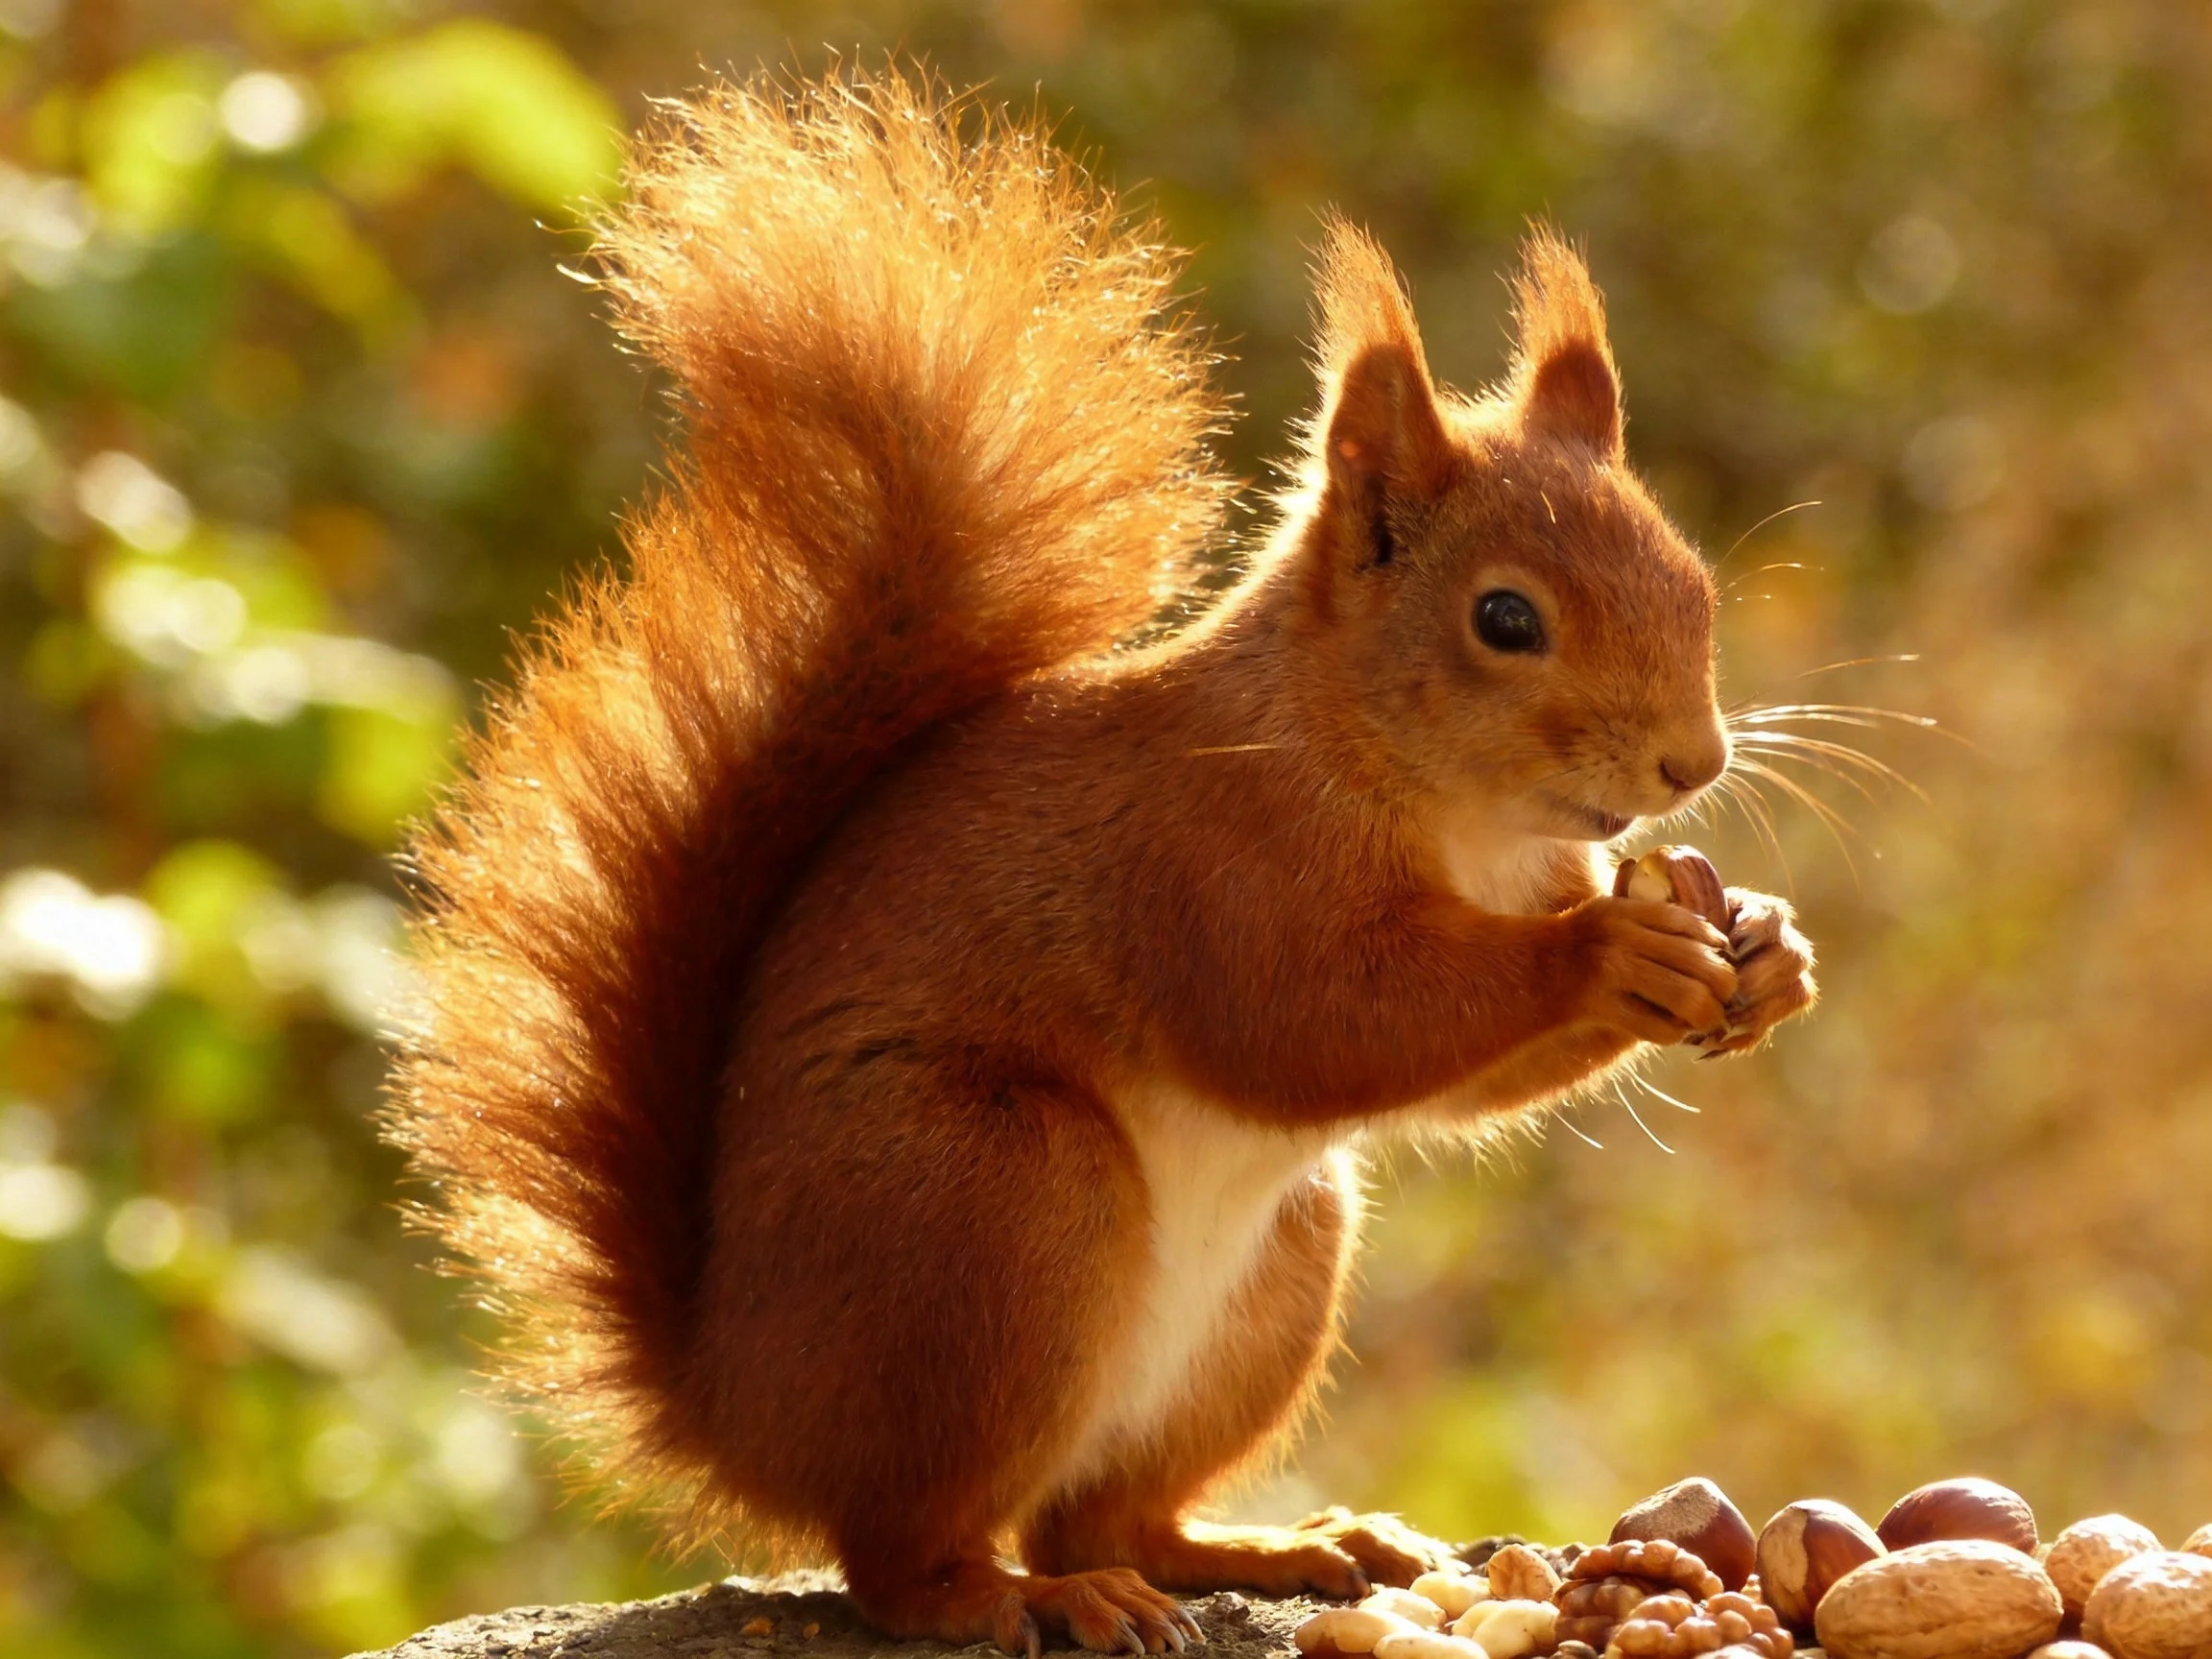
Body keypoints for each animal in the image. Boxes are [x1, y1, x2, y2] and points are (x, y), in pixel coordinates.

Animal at [388, 67, 1816, 1658]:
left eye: (1691, 578)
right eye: (1506, 620)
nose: (1693, 765)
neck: (1447, 810)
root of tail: (734, 1412)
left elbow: (1461, 1081)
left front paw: (1766, 950)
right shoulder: (1208, 863)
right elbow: (1319, 1023)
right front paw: (1610, 956)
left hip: (1274, 1267)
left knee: (1111, 1511)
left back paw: (1272, 1550)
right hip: (1001, 1208)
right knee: (907, 1556)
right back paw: (1026, 1600)